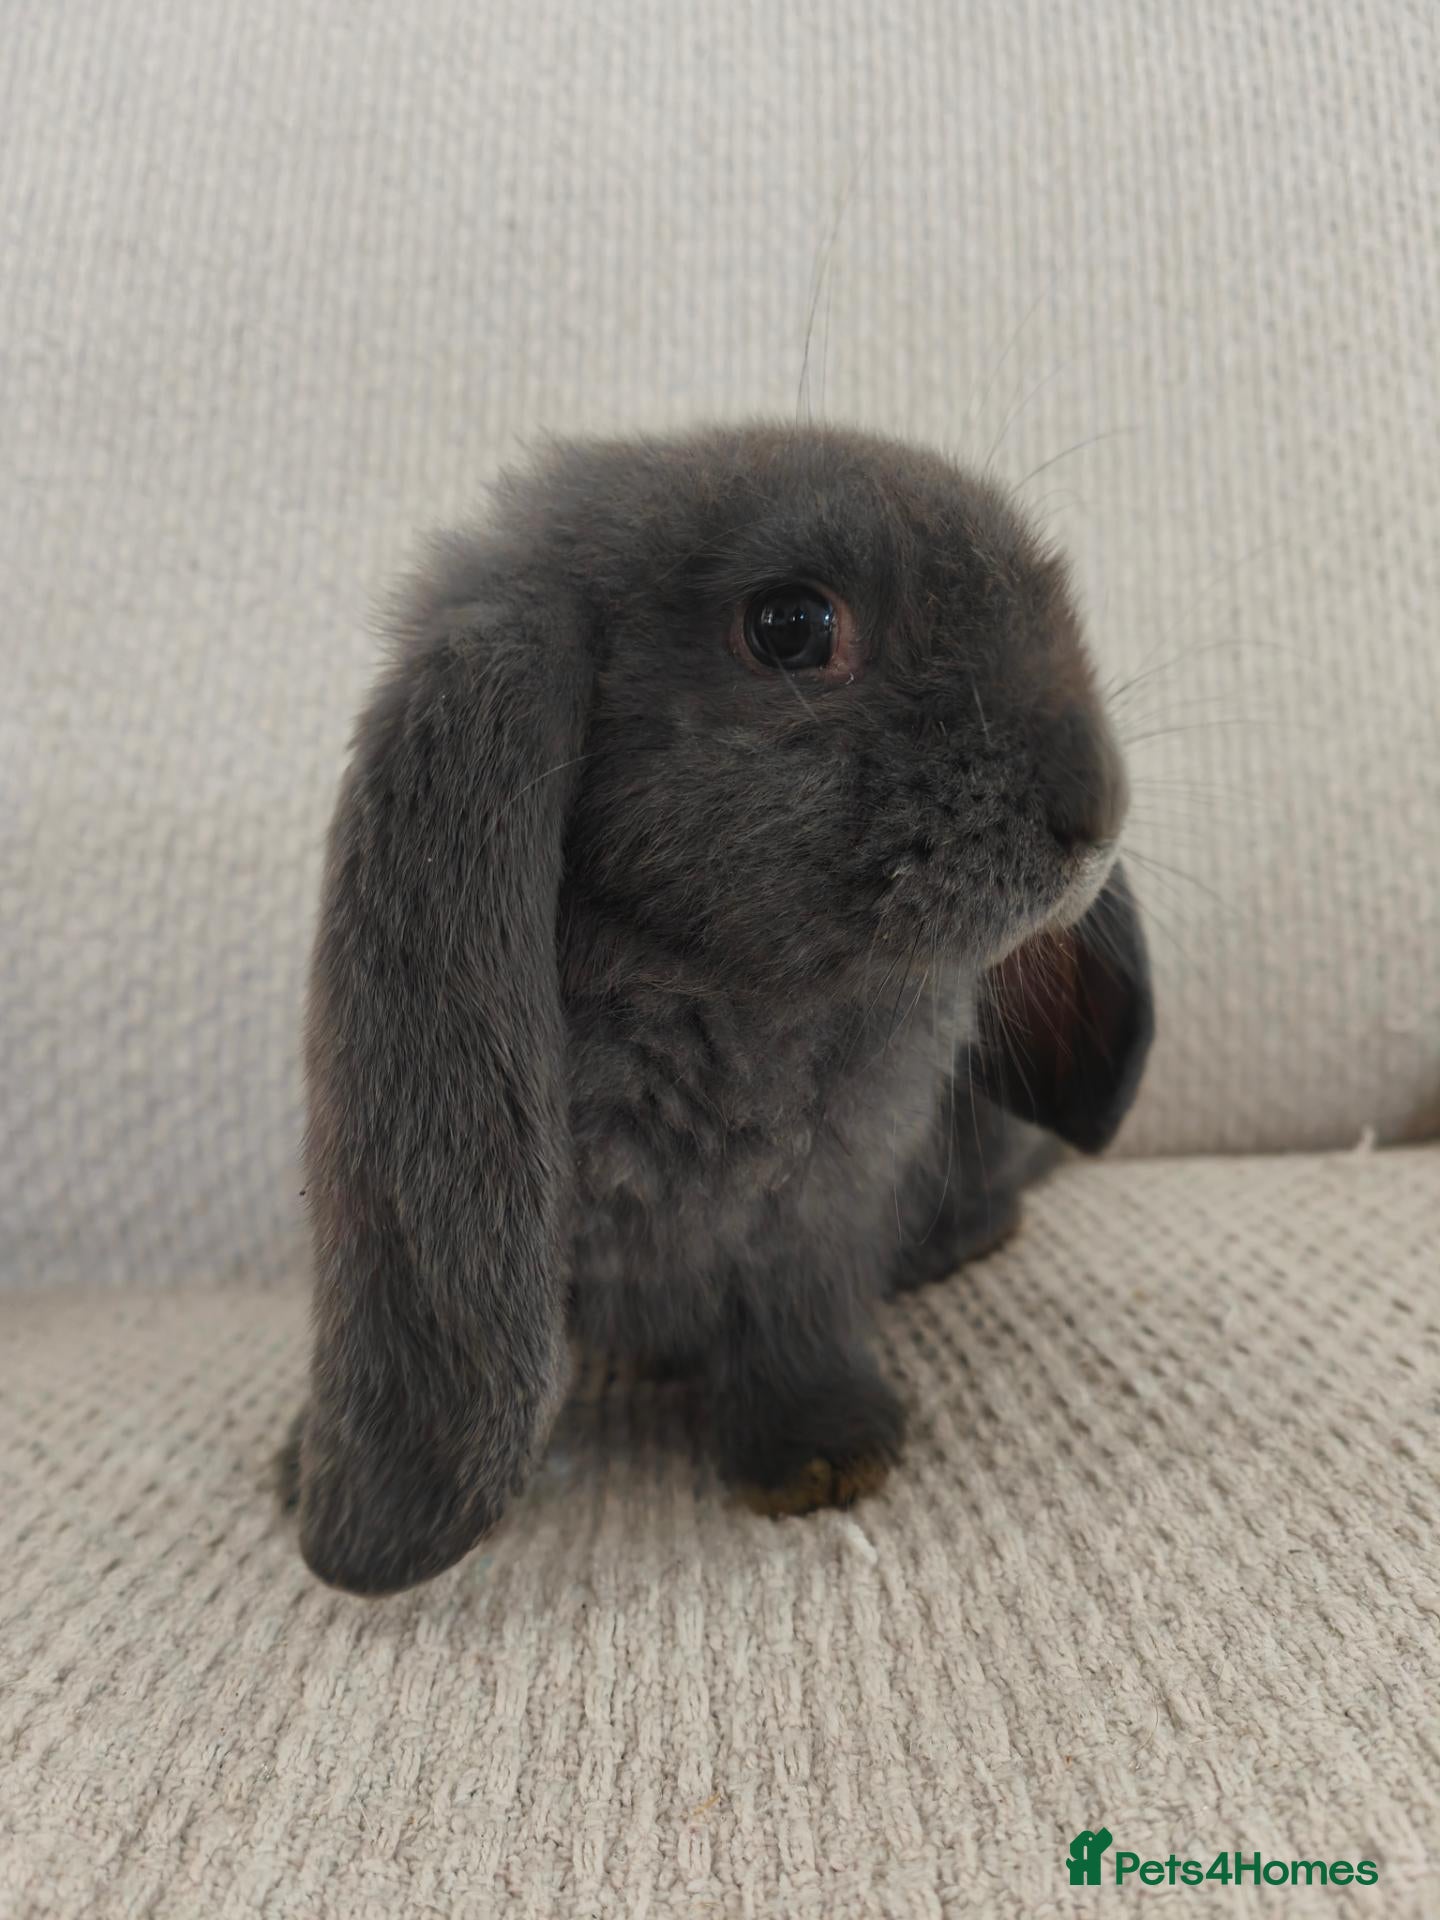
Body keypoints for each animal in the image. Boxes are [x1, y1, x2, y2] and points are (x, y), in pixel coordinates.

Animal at [288, 422, 1153, 1595]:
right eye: (790, 627)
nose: (1096, 809)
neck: (722, 989)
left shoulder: (816, 1217)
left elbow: (796, 1324)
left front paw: (825, 1453)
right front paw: (298, 1463)